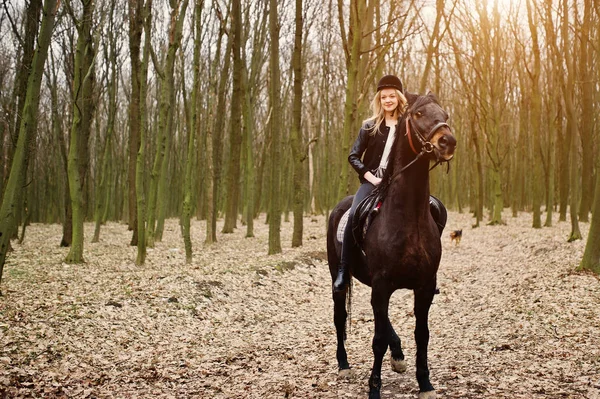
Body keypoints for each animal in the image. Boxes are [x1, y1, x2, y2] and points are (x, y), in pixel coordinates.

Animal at [326, 93, 458, 399]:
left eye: (445, 113)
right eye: (419, 113)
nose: (447, 141)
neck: (407, 216)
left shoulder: (423, 286)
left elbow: (422, 334)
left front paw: (425, 383)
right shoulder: (383, 283)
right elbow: (376, 340)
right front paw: (374, 388)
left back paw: (397, 355)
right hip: (339, 277)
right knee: (340, 316)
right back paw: (344, 364)